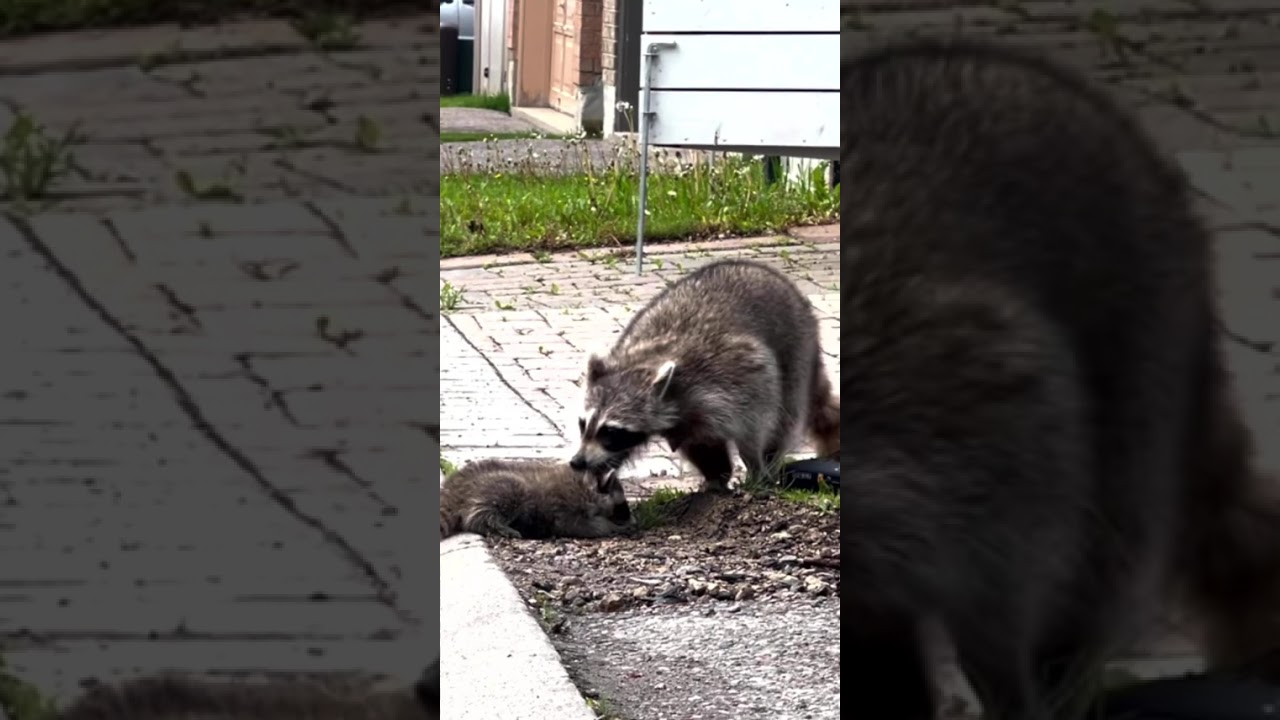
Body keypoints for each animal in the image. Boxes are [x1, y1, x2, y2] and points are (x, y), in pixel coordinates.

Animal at [438, 458, 633, 539]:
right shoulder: (565, 506)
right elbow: (582, 526)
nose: (632, 520)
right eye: (621, 505)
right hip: (499, 486)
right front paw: (612, 527)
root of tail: (453, 487)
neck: (585, 484)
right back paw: (493, 524)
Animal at [571, 259, 839, 491]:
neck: (641, 363)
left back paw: (769, 458)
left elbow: (756, 419)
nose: (577, 461)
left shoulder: (732, 375)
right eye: (583, 424)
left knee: (786, 414)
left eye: (611, 431)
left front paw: (754, 460)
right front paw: (716, 473)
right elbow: (700, 444)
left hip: (796, 348)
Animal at [840, 38, 1280, 719]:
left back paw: (1061, 675)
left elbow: (1010, 565)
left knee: (1105, 553)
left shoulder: (974, 405)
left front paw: (1003, 676)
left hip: (1141, 344)